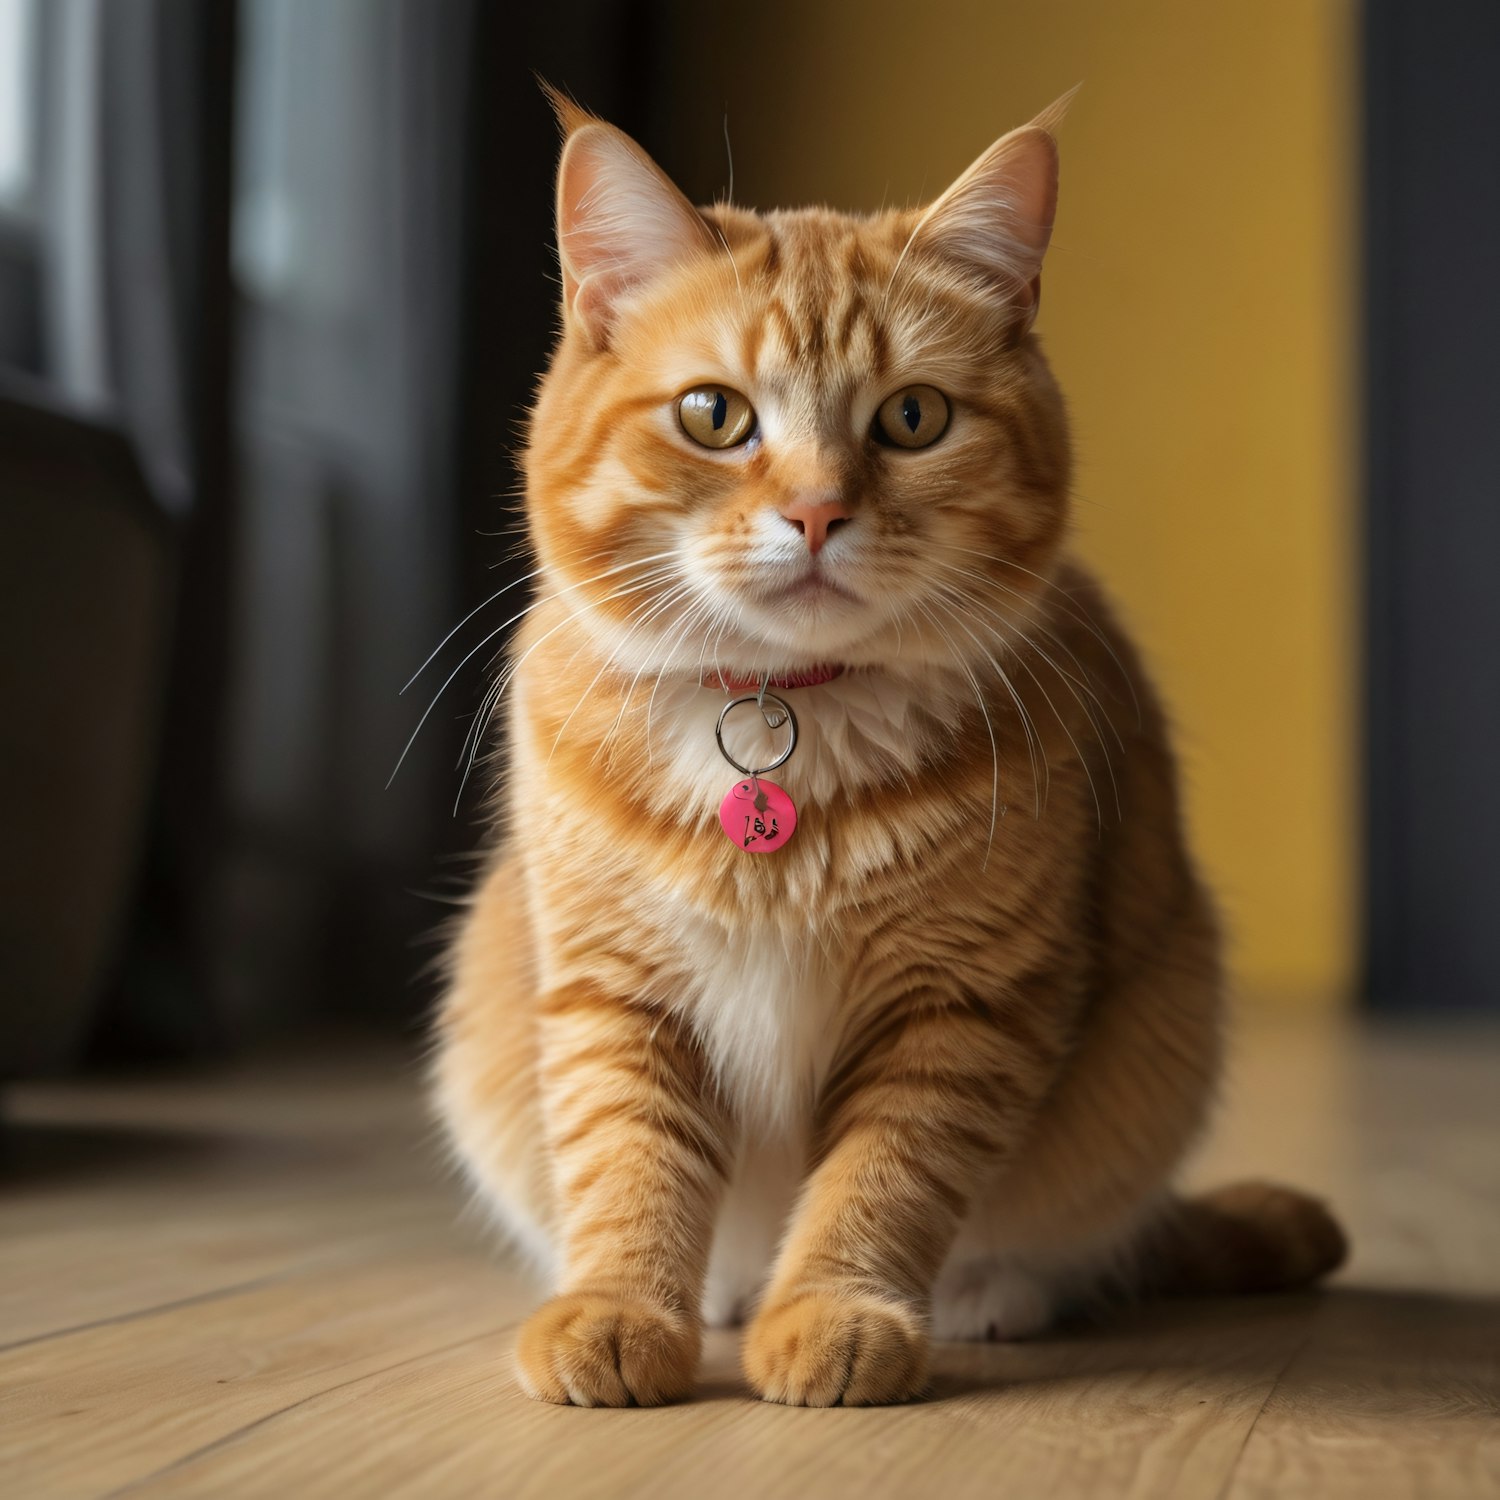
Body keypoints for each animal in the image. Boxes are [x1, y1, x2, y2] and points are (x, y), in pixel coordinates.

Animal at [435, 93, 1350, 1404]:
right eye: (714, 414)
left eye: (913, 417)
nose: (818, 512)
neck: (786, 713)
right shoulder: (617, 991)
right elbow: (627, 1166)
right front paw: (618, 1311)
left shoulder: (959, 1005)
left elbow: (883, 1183)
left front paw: (834, 1313)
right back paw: (726, 1290)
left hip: (1158, 1043)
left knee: (1068, 1241)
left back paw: (986, 1294)